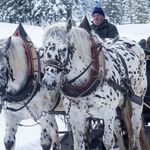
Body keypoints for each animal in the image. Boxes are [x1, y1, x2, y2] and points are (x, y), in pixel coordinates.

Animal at [40, 19, 149, 150]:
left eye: (63, 49)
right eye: (43, 49)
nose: (48, 82)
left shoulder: (108, 112)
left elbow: (108, 141)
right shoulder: (76, 117)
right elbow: (78, 144)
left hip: (137, 99)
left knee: (135, 125)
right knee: (119, 128)